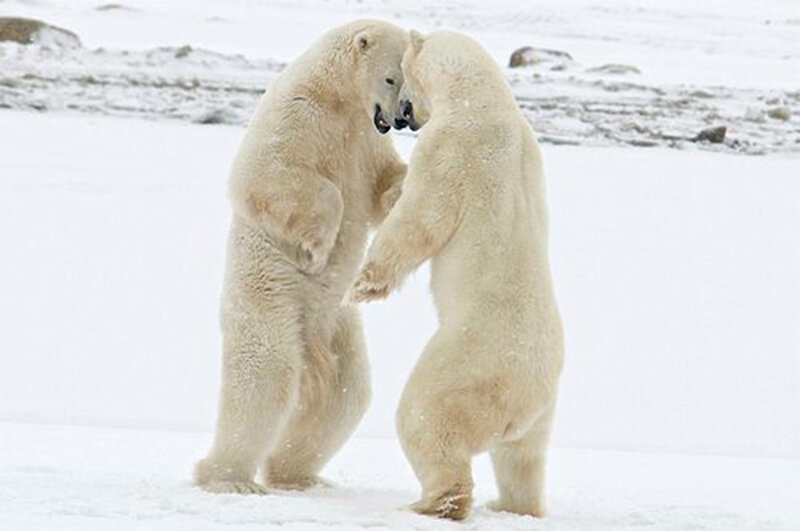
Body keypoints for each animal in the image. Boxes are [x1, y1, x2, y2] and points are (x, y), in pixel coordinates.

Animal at [194, 20, 410, 495]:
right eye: (391, 78)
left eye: (412, 79)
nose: (404, 116)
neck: (336, 96)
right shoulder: (299, 116)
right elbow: (269, 172)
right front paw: (319, 246)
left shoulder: (364, 137)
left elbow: (384, 182)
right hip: (270, 295)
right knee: (265, 376)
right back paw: (228, 478)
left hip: (339, 320)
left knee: (347, 393)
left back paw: (298, 475)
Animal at [351, 30, 564, 520]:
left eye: (400, 77)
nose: (402, 118)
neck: (482, 97)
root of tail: (523, 400)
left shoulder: (453, 149)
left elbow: (420, 218)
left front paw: (364, 285)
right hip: (542, 414)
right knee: (523, 460)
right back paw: (515, 504)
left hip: (466, 369)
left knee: (425, 419)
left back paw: (434, 501)